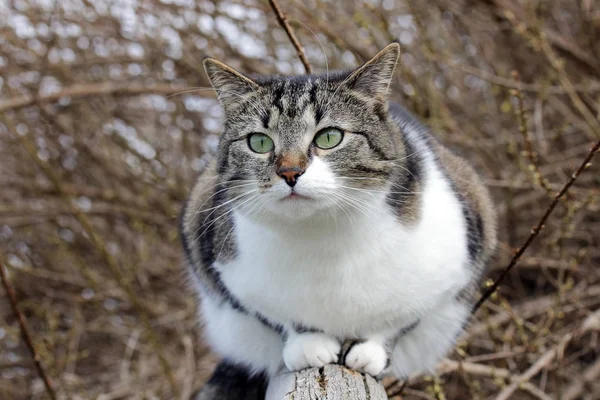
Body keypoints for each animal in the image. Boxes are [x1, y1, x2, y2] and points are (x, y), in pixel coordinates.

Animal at [180, 42, 500, 398]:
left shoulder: (458, 266)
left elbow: (402, 320)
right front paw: (307, 343)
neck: (324, 238)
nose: (289, 172)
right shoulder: (223, 270)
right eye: (259, 142)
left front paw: (371, 350)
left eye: (329, 137)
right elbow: (276, 317)